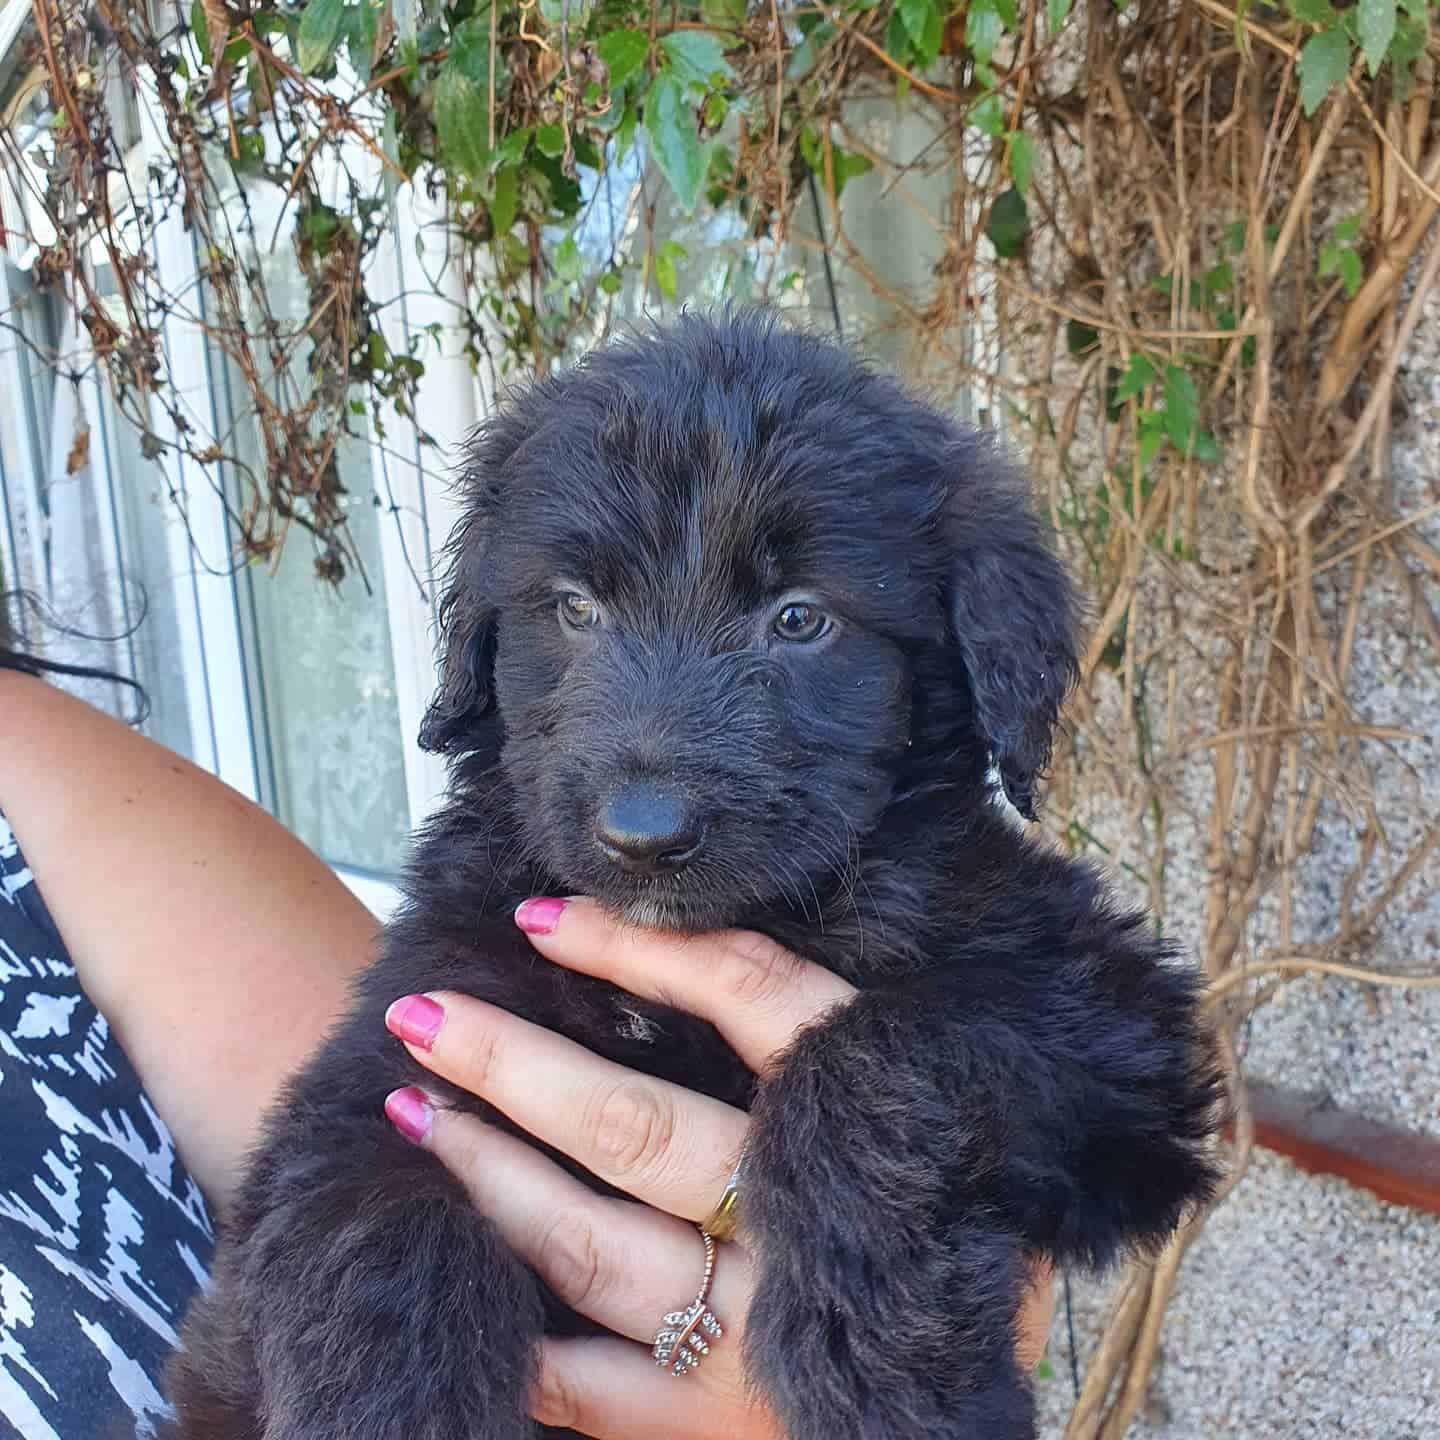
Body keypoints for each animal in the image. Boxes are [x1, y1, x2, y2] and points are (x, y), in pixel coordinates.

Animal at [163, 309, 1221, 1440]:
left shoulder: (1121, 1027)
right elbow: (379, 1219)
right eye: (575, 605)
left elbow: (874, 1048)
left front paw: (880, 1361)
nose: (643, 832)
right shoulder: (386, 1061)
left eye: (800, 618)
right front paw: (396, 1405)